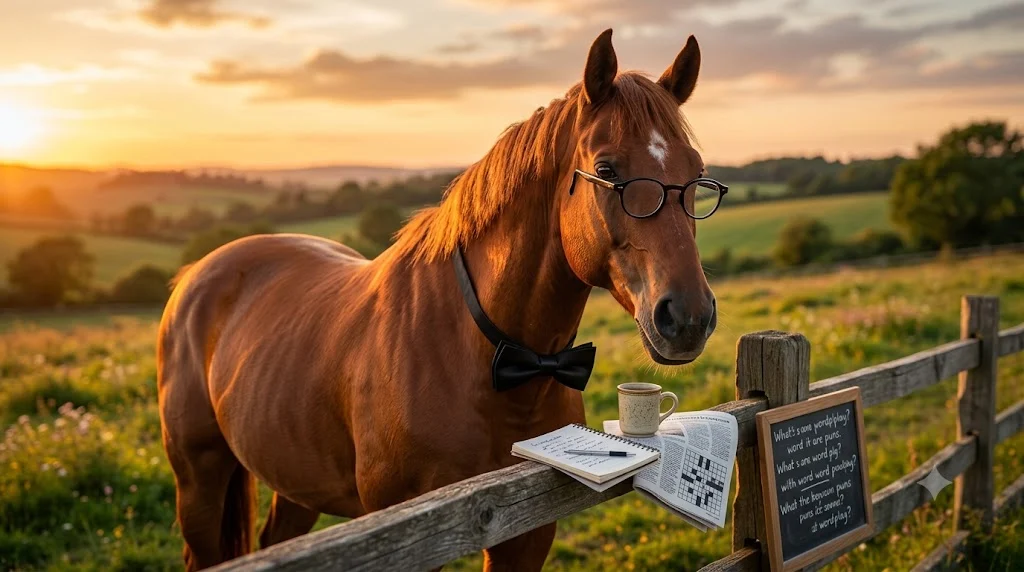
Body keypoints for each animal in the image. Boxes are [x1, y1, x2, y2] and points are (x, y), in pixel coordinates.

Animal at [158, 28, 719, 571]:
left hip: (295, 475)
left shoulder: (527, 529)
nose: (688, 317)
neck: (485, 356)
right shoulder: (409, 532)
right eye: (606, 169)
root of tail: (196, 274)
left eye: (697, 171)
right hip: (198, 482)